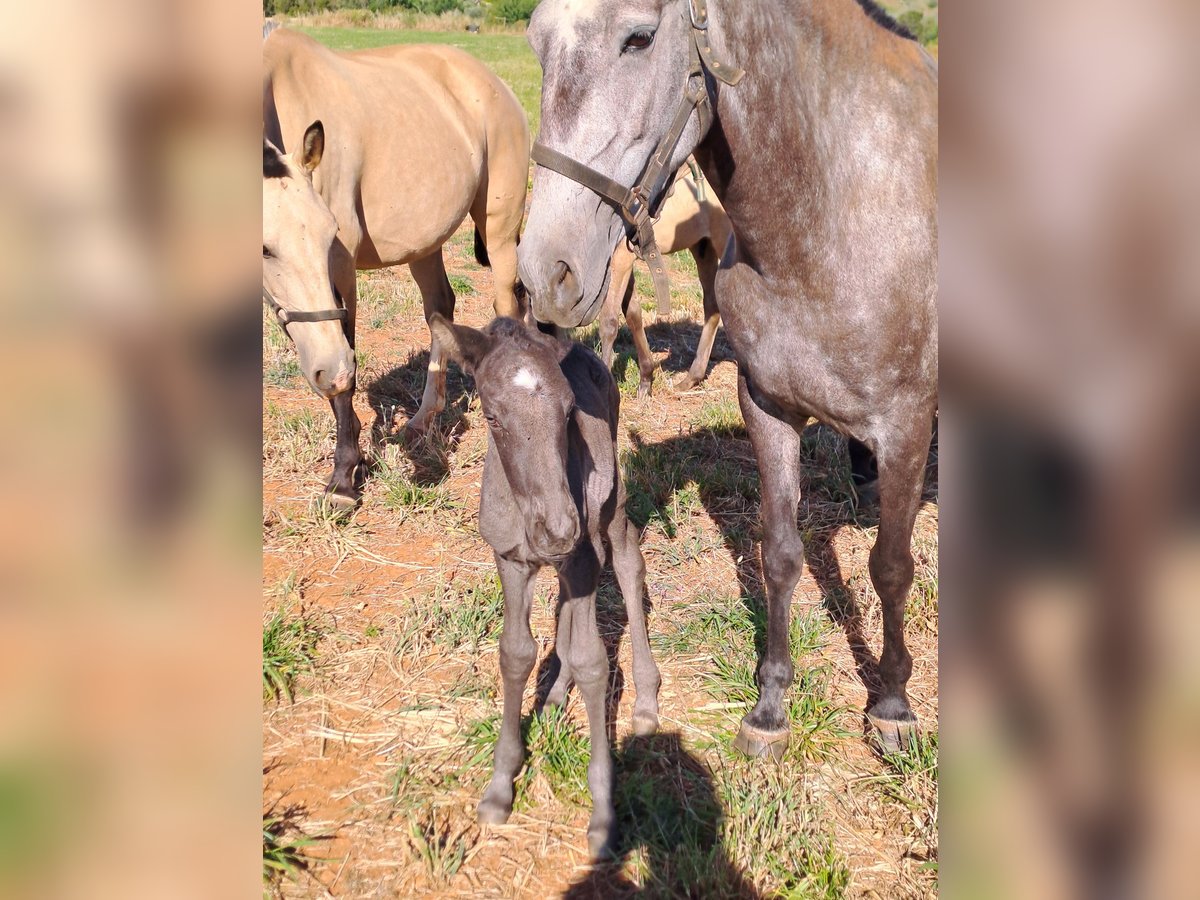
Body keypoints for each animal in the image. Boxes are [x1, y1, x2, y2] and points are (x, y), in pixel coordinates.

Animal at [265, 28, 528, 504]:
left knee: (508, 304)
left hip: (499, 231)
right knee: (441, 307)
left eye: (329, 233)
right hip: (426, 242)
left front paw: (344, 477)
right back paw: (424, 418)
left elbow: (348, 365)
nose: (326, 372)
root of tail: (494, 82)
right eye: (265, 249)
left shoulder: (341, 268)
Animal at [427, 316, 662, 859]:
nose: (558, 528)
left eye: (569, 410)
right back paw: (555, 692)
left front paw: (602, 811)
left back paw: (646, 698)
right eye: (491, 416)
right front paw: (500, 785)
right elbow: (516, 653)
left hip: (610, 508)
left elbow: (594, 661)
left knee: (627, 562)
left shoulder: (583, 553)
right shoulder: (511, 559)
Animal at [516, 0, 936, 758]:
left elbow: (890, 567)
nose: (547, 274)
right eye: (536, 39)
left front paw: (892, 705)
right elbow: (780, 556)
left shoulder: (907, 425)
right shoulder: (767, 409)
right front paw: (771, 708)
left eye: (639, 37)